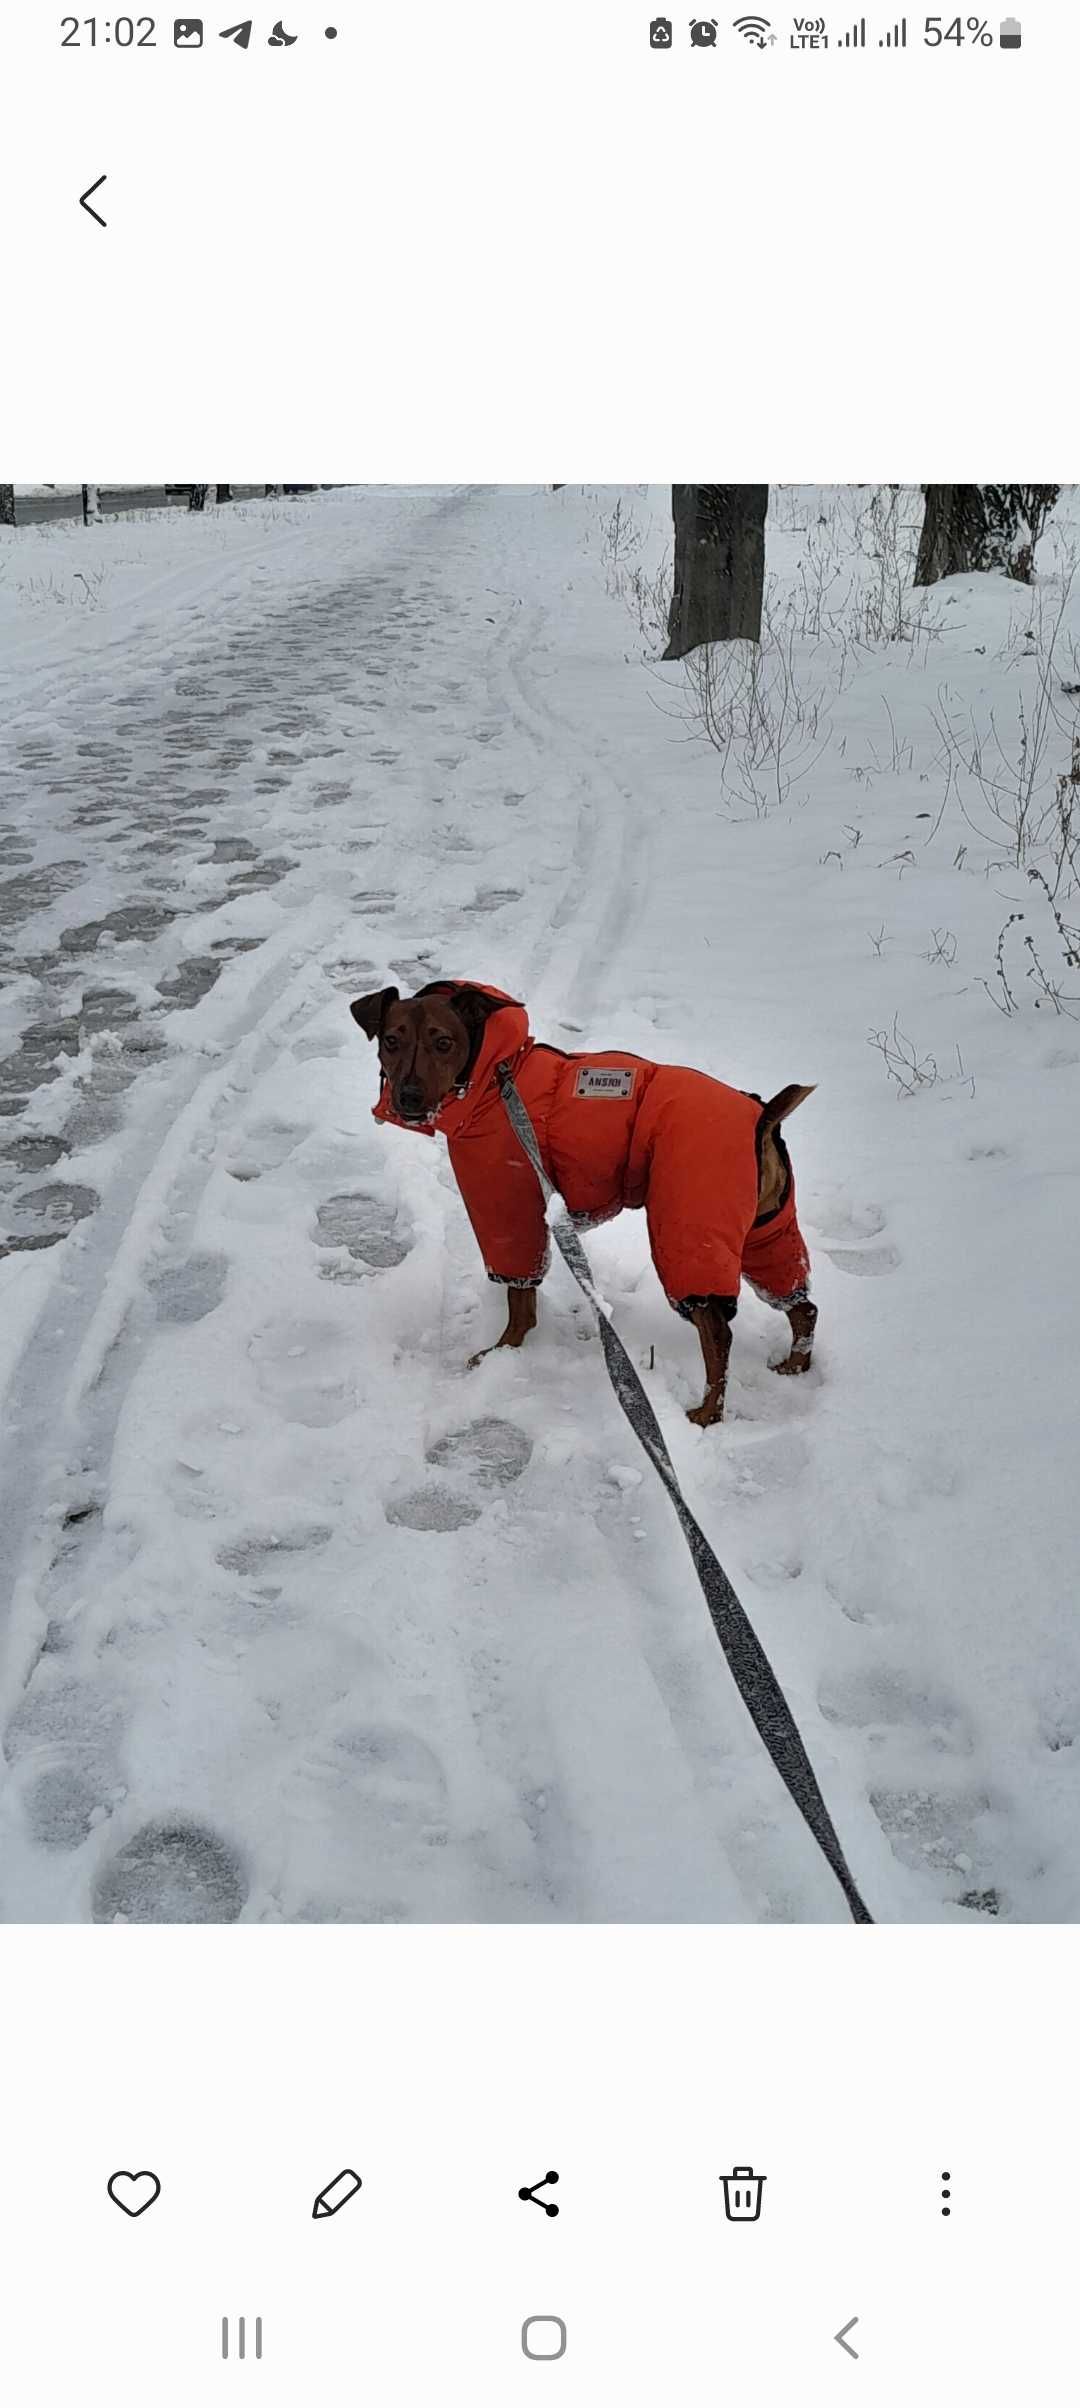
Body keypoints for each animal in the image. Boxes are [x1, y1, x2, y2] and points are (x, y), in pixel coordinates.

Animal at [348, 977, 813, 1425]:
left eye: (444, 1042)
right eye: (391, 1040)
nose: (407, 1097)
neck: (494, 1076)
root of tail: (761, 1117)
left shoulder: (507, 1201)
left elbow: (520, 1298)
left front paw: (504, 1350)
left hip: (692, 1223)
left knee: (718, 1333)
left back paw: (708, 1413)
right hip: (766, 1230)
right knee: (801, 1304)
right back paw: (796, 1365)